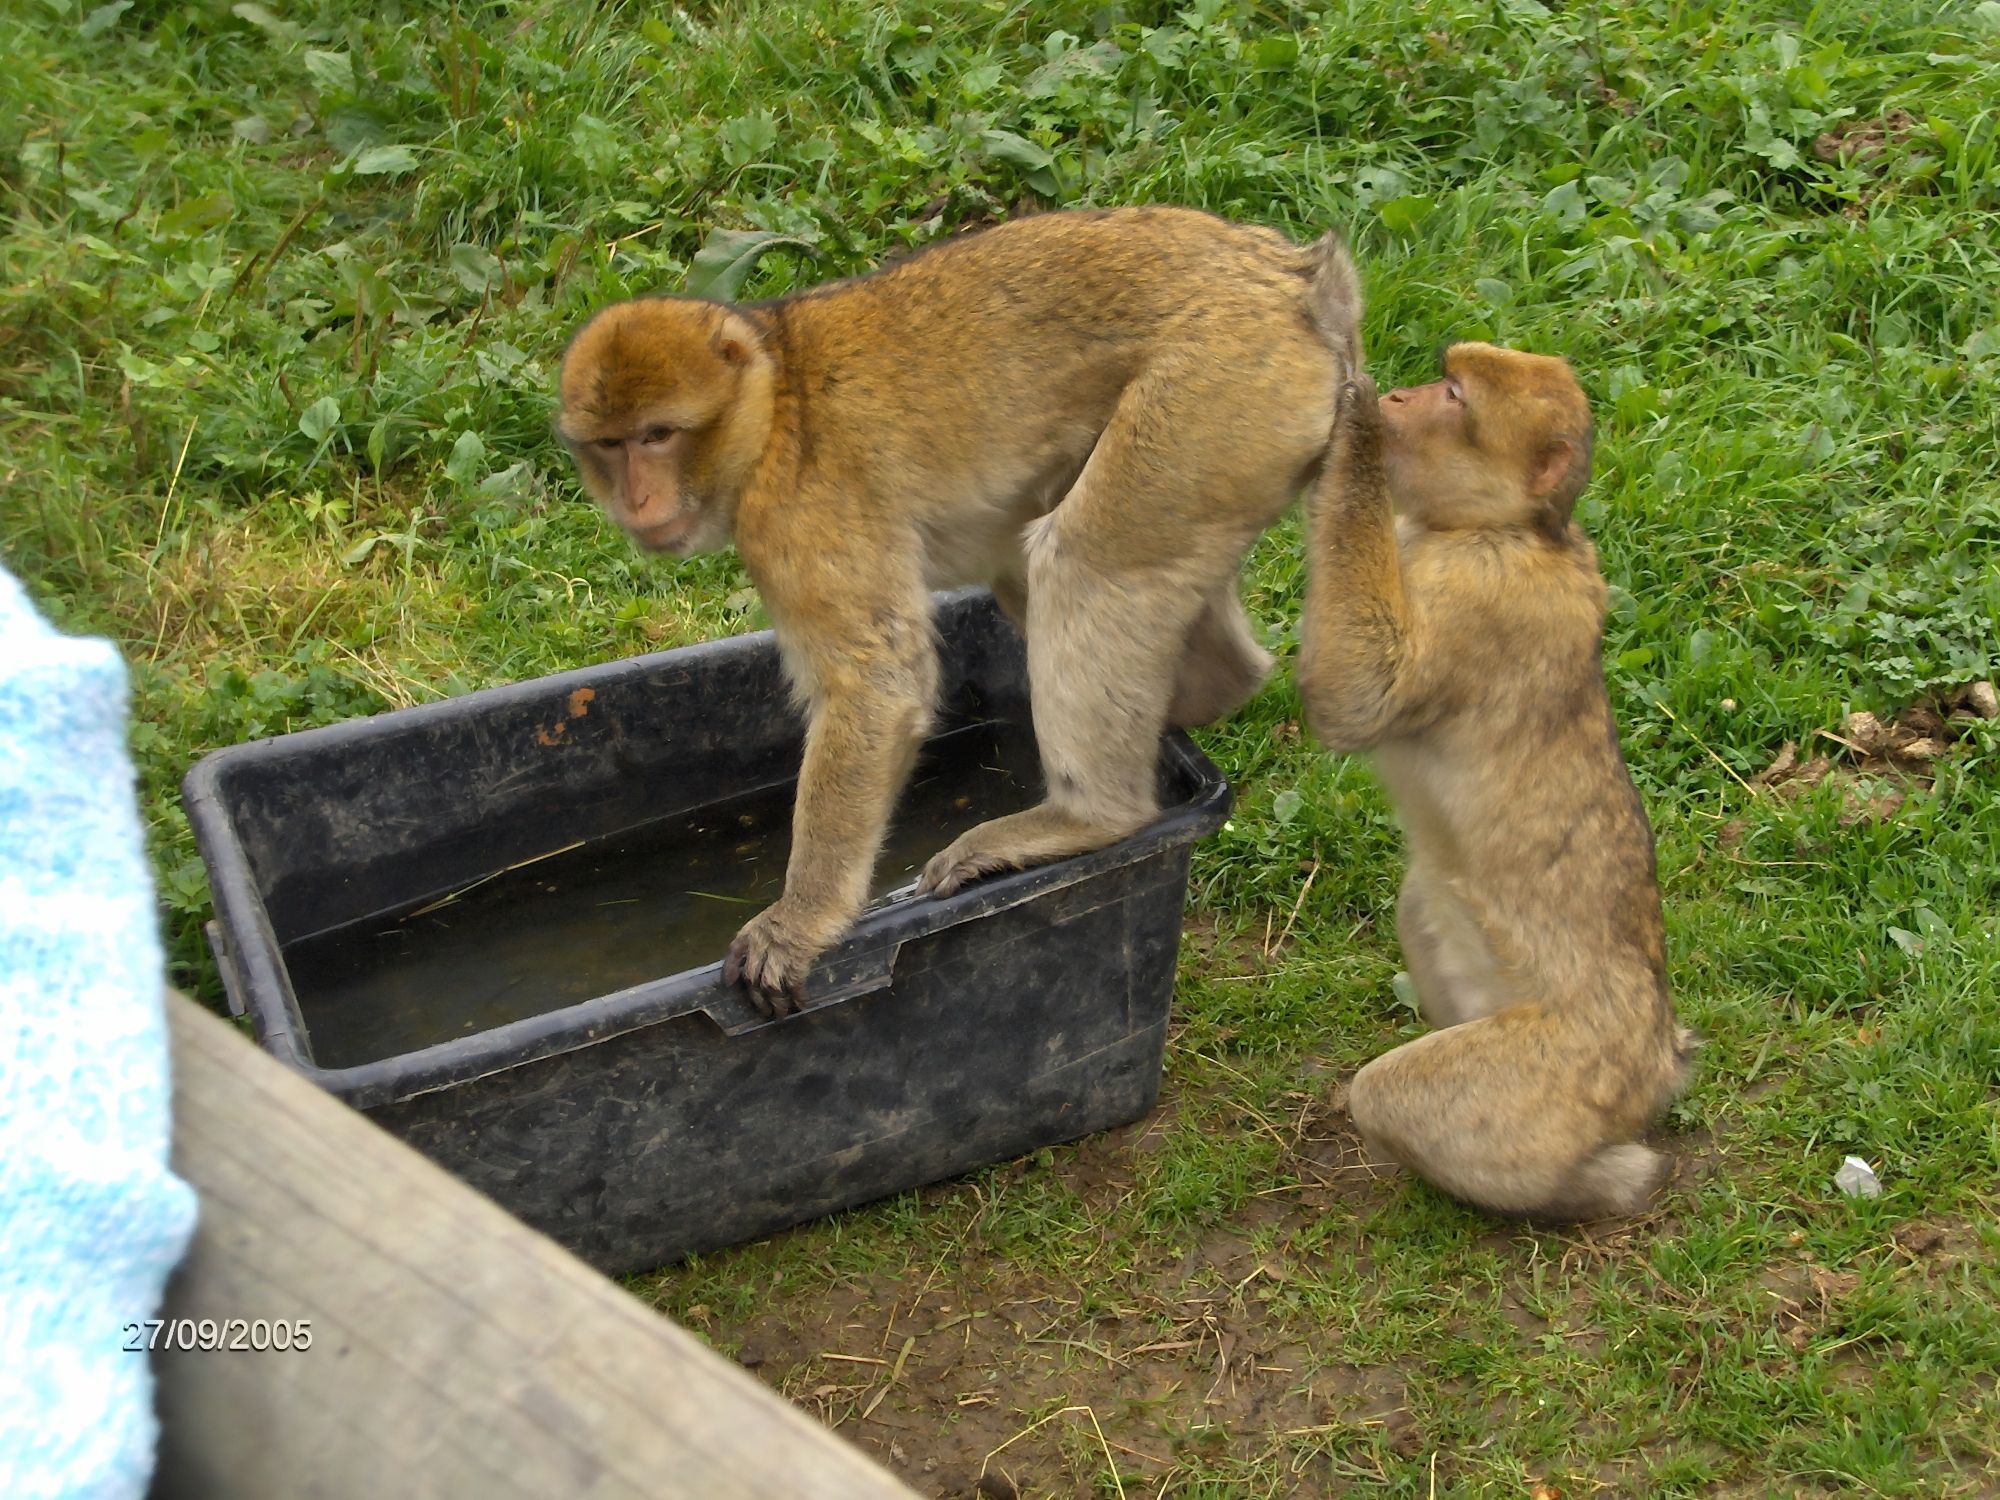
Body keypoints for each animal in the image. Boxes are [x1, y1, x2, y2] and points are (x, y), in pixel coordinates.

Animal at [556, 206, 1368, 1016]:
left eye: (658, 436)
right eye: (610, 445)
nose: (637, 500)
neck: (773, 404)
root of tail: (1296, 277)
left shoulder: (797, 514)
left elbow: (879, 686)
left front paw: (798, 924)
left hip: (1213, 393)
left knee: (1082, 563)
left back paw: (1088, 817)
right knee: (1044, 570)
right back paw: (1213, 688)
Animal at [1296, 334, 1704, 1224]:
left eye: (1452, 394)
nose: (1402, 400)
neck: (1505, 527)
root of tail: (1655, 1058)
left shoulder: (1478, 592)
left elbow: (1357, 695)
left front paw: (1355, 429)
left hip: (1561, 1071)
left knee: (1392, 1095)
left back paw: (1596, 1181)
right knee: (1422, 902)